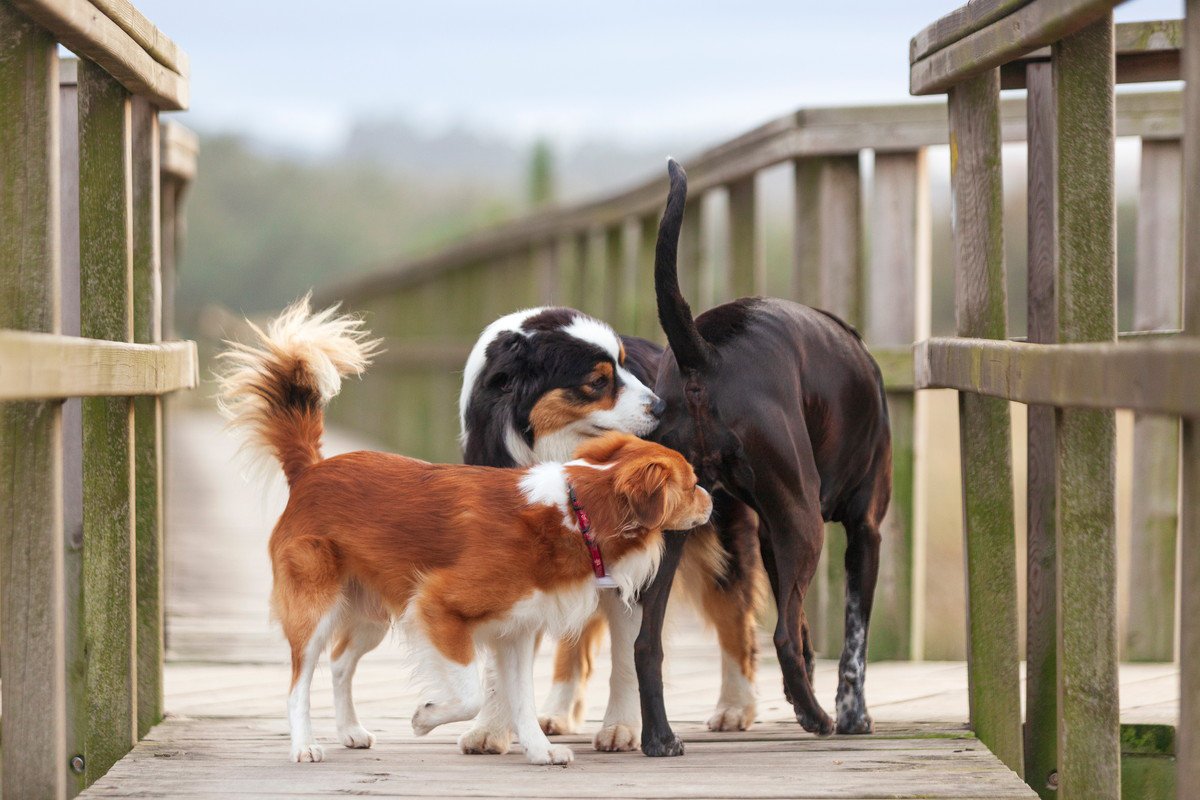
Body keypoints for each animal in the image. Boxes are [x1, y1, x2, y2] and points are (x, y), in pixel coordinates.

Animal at [216, 298, 705, 762]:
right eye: (597, 382)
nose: (711, 497)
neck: (572, 509)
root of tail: (312, 470)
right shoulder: (437, 607)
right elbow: (473, 691)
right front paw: (427, 717)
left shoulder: (516, 629)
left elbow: (523, 697)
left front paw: (540, 751)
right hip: (316, 608)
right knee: (299, 681)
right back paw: (304, 745)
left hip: (372, 612)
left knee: (339, 663)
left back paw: (350, 731)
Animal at [638, 159, 892, 753]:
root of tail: (703, 355)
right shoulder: (864, 530)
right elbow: (852, 642)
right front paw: (852, 714)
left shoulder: (771, 539)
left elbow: (804, 629)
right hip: (805, 524)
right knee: (778, 637)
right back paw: (819, 718)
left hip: (675, 534)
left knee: (646, 641)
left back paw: (661, 737)